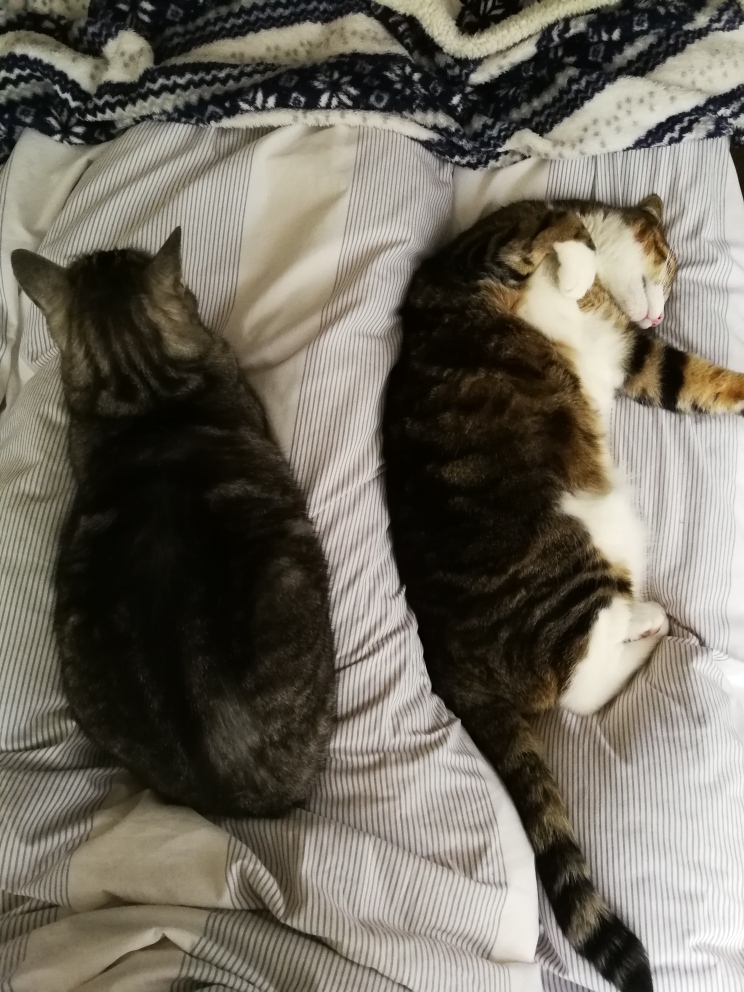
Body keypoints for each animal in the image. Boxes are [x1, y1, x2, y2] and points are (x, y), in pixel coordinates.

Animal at [382, 195, 744, 992]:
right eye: (670, 265)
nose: (660, 310)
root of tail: (450, 671)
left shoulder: (639, 359)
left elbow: (696, 376)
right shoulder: (476, 256)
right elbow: (547, 237)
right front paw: (571, 254)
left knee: (582, 686)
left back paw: (654, 624)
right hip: (564, 568)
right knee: (579, 683)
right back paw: (652, 621)